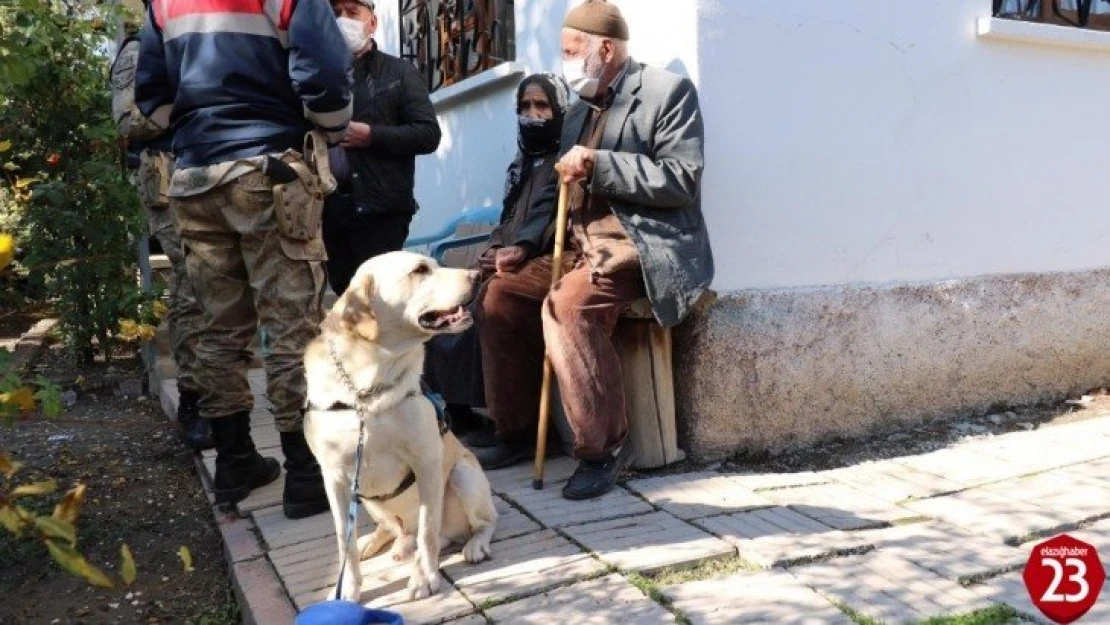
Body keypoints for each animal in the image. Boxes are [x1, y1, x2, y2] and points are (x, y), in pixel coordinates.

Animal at [301, 251, 497, 603]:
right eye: (419, 270)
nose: (477, 275)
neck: (366, 390)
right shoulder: (334, 478)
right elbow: (343, 541)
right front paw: (348, 586)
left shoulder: (427, 462)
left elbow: (428, 531)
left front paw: (425, 578)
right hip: (367, 499)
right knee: (391, 529)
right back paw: (377, 541)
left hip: (464, 475)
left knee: (476, 525)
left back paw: (473, 545)